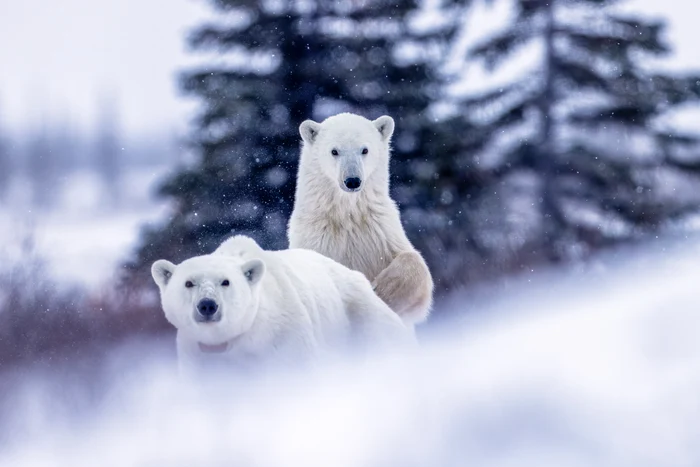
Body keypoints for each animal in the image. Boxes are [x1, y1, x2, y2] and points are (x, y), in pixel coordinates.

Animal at [151, 235, 413, 373]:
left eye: (225, 282)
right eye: (188, 283)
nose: (207, 305)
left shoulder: (283, 335)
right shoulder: (196, 354)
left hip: (361, 317)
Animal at [288, 112, 433, 325]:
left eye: (365, 149)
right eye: (334, 151)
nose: (352, 181)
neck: (347, 215)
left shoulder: (380, 230)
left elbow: (413, 263)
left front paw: (380, 291)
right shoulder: (315, 239)